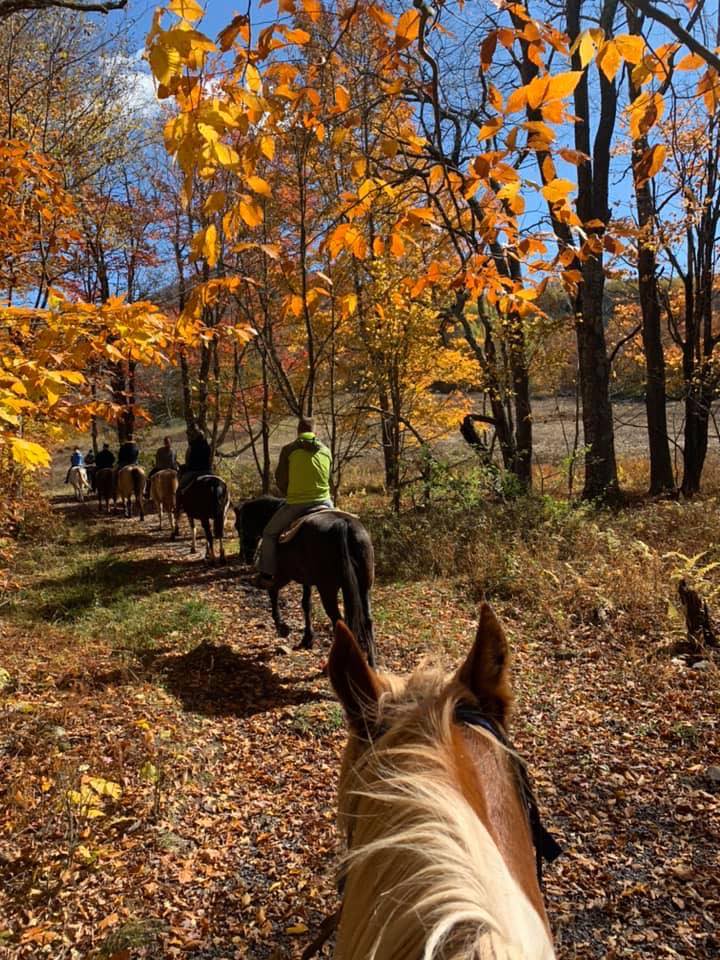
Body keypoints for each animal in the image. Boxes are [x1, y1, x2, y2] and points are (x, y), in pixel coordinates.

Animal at [236, 498, 380, 664]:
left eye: (240, 527)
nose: (246, 557)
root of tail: (343, 524)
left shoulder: (283, 575)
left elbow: (273, 591)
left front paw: (282, 627)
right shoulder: (307, 579)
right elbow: (306, 604)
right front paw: (307, 638)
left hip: (327, 589)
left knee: (340, 622)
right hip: (363, 586)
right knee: (367, 620)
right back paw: (372, 664)